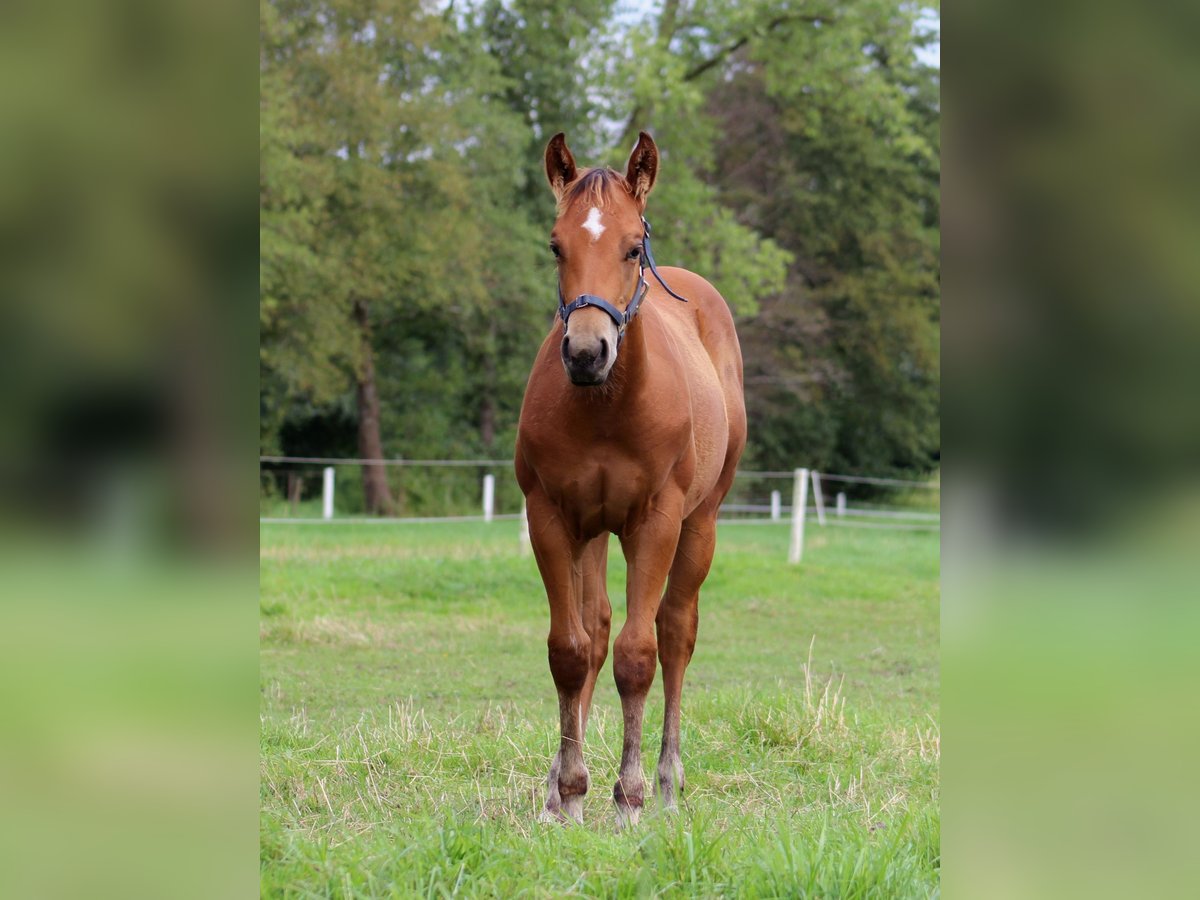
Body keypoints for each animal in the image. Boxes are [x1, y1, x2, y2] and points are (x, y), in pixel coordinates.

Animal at [513, 130, 744, 830]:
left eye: (633, 247)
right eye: (555, 245)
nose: (587, 353)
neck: (607, 407)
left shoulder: (655, 522)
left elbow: (638, 657)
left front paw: (631, 797)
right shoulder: (552, 518)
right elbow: (570, 650)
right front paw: (568, 790)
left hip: (700, 525)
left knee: (675, 633)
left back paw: (668, 781)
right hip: (593, 532)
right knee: (595, 632)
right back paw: (561, 787)